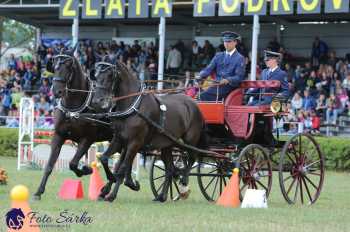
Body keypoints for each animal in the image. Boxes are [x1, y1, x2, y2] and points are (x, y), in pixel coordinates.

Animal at [90, 60, 206, 202]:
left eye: (110, 76)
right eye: (96, 76)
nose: (96, 101)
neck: (133, 105)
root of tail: (193, 103)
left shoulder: (135, 142)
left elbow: (123, 167)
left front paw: (113, 194)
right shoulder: (119, 140)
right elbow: (105, 159)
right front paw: (111, 183)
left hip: (189, 141)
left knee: (192, 157)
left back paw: (183, 181)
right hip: (167, 145)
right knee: (170, 169)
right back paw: (161, 196)